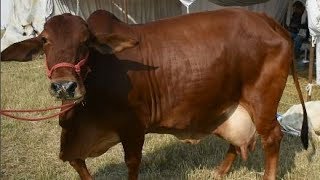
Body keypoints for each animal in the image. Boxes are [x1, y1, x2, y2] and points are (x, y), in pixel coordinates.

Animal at [1, 8, 308, 180]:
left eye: (85, 42)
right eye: (44, 40)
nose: (64, 86)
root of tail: (268, 21)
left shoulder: (133, 128)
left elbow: (132, 164)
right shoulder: (76, 139)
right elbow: (79, 164)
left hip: (263, 102)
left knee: (272, 137)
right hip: (232, 103)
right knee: (239, 141)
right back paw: (218, 172)